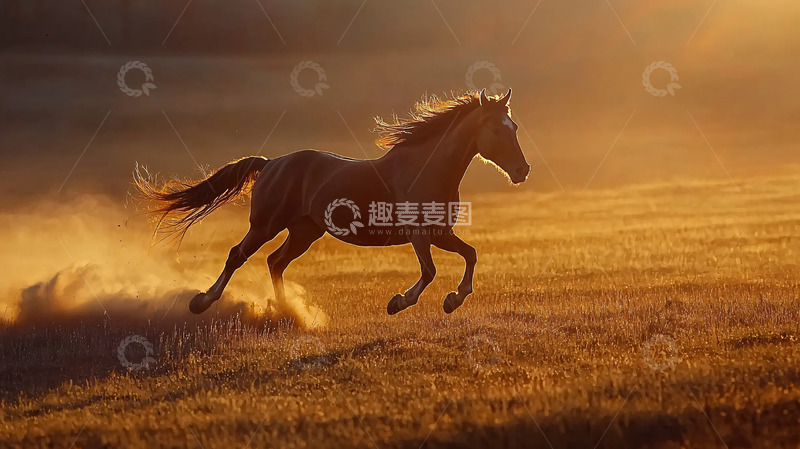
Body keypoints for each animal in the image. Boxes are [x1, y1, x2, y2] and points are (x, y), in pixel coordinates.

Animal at [135, 88, 530, 316]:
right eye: (498, 129)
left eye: (514, 127)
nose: (522, 170)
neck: (426, 169)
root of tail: (271, 163)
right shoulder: (419, 235)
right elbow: (430, 271)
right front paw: (398, 303)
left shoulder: (440, 233)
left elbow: (471, 254)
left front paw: (453, 299)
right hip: (266, 224)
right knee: (238, 255)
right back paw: (201, 302)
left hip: (305, 232)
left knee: (275, 262)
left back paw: (288, 313)